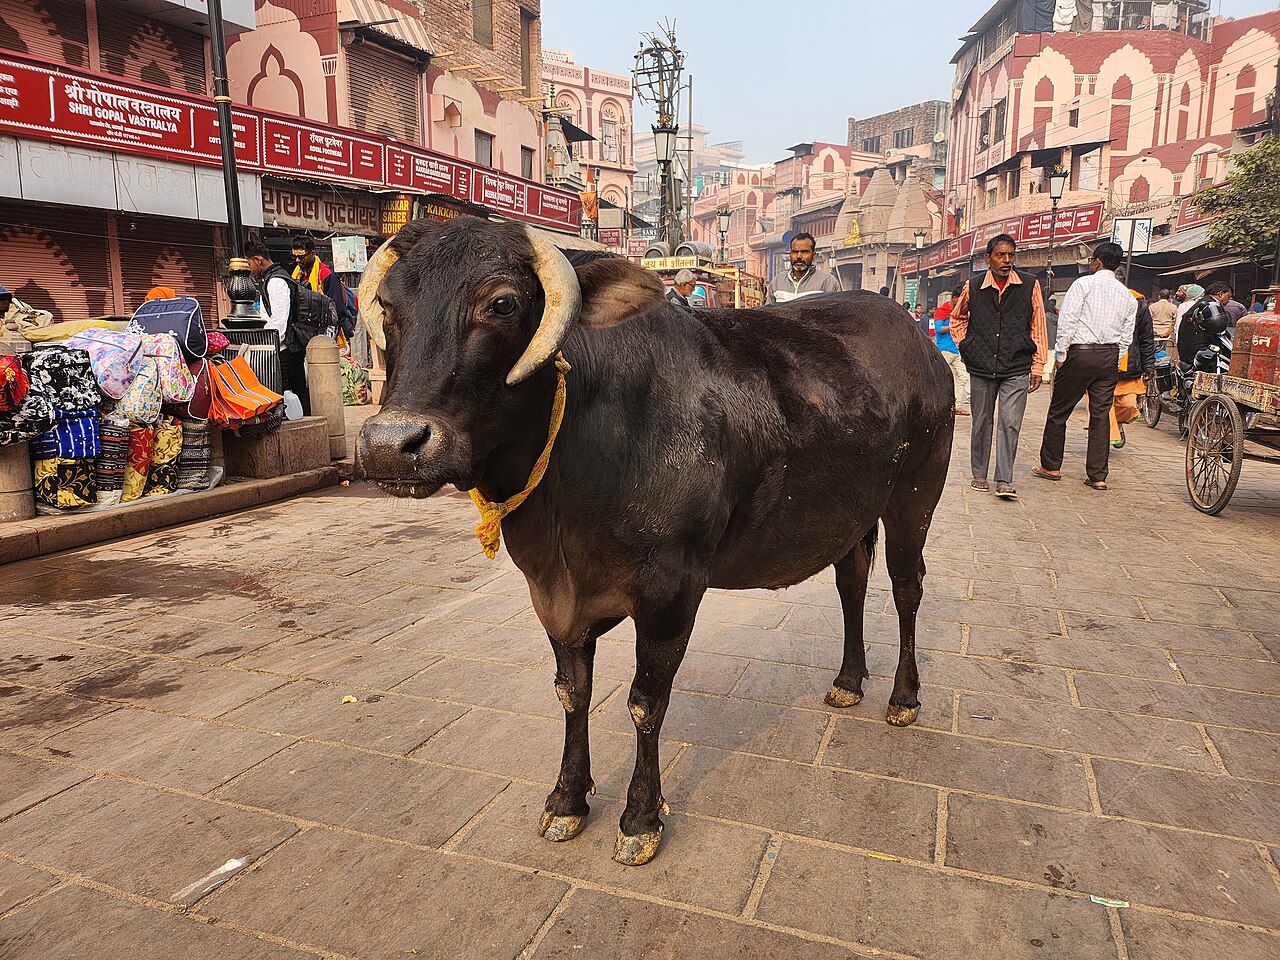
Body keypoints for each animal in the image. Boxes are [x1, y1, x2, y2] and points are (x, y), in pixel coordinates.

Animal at [356, 216, 954, 866]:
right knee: (852, 582)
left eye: (502, 304)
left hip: (916, 494)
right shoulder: (553, 596)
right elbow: (573, 693)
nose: (392, 445)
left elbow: (646, 701)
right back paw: (848, 681)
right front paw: (567, 799)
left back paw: (903, 697)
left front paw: (641, 817)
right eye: (388, 304)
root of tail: (918, 338)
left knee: (908, 588)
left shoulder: (672, 588)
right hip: (852, 512)